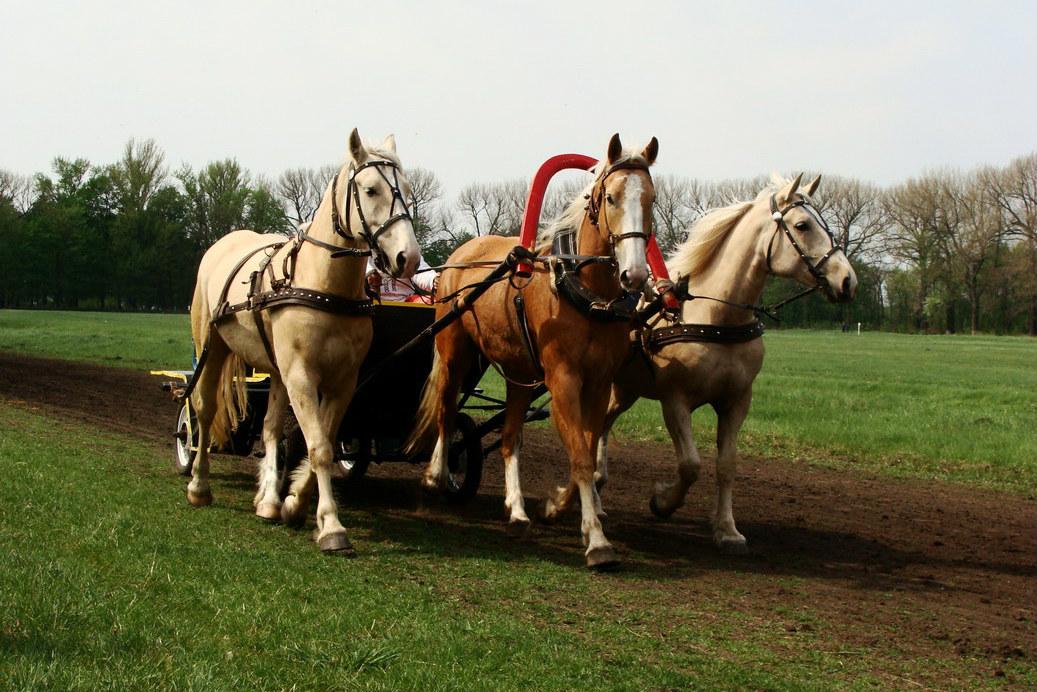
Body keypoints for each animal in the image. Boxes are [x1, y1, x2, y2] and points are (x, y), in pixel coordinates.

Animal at [186, 127, 416, 556]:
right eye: (371, 189)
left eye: (407, 189)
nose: (407, 258)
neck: (325, 287)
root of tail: (223, 243)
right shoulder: (302, 376)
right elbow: (320, 447)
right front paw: (332, 527)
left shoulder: (343, 380)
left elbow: (321, 440)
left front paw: (293, 503)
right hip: (214, 347)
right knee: (204, 410)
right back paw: (199, 485)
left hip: (276, 370)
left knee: (270, 428)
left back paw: (268, 501)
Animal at [408, 133, 659, 568]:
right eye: (611, 197)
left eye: (652, 199)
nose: (635, 274)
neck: (586, 292)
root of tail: (461, 254)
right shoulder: (563, 380)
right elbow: (580, 456)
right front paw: (596, 539)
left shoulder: (598, 383)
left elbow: (587, 451)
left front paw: (558, 506)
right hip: (455, 352)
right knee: (446, 410)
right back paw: (435, 476)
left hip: (520, 374)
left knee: (510, 438)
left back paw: (517, 511)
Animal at [597, 176, 854, 556]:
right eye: (802, 226)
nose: (848, 280)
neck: (716, 317)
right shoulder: (675, 401)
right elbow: (690, 465)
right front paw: (663, 501)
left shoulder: (737, 401)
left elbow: (727, 465)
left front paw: (727, 529)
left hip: (626, 391)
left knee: (602, 426)